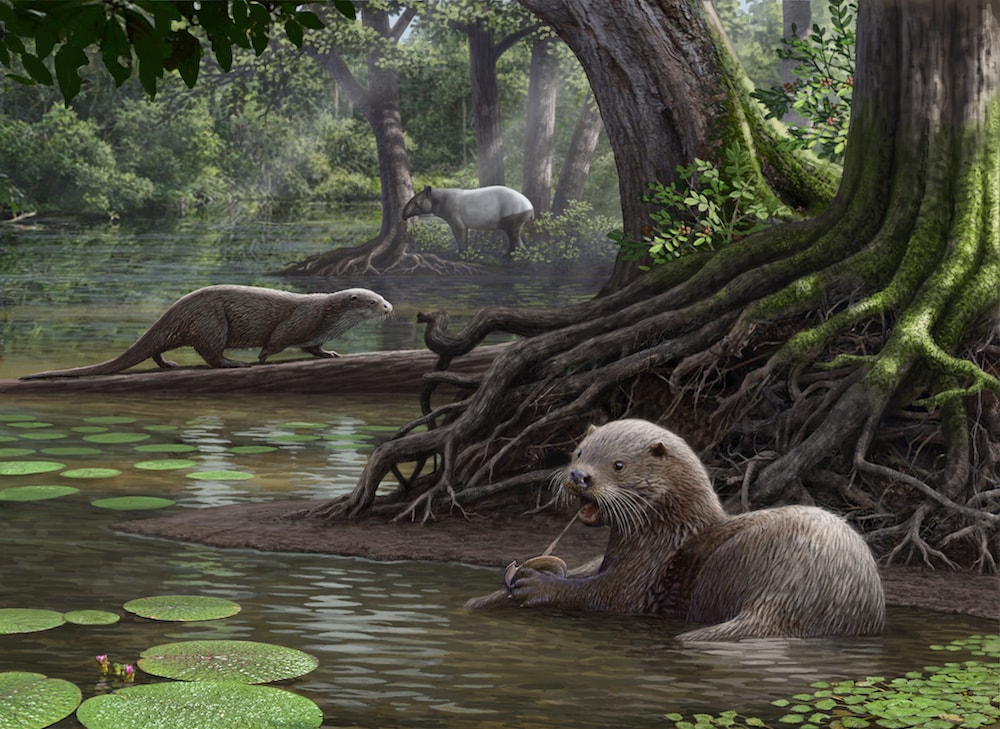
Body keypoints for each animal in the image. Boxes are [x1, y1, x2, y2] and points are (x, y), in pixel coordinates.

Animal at [20, 285, 392, 379]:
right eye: (373, 301)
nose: (389, 307)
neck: (328, 316)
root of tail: (175, 308)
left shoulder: (315, 333)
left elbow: (313, 349)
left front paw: (330, 352)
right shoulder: (301, 320)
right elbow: (276, 340)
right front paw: (261, 357)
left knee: (158, 349)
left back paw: (167, 364)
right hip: (211, 322)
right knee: (211, 354)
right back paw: (235, 363)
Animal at [507, 419, 885, 641]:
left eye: (618, 464)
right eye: (579, 452)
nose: (578, 476)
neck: (669, 531)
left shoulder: (643, 576)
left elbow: (605, 596)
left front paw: (536, 584)